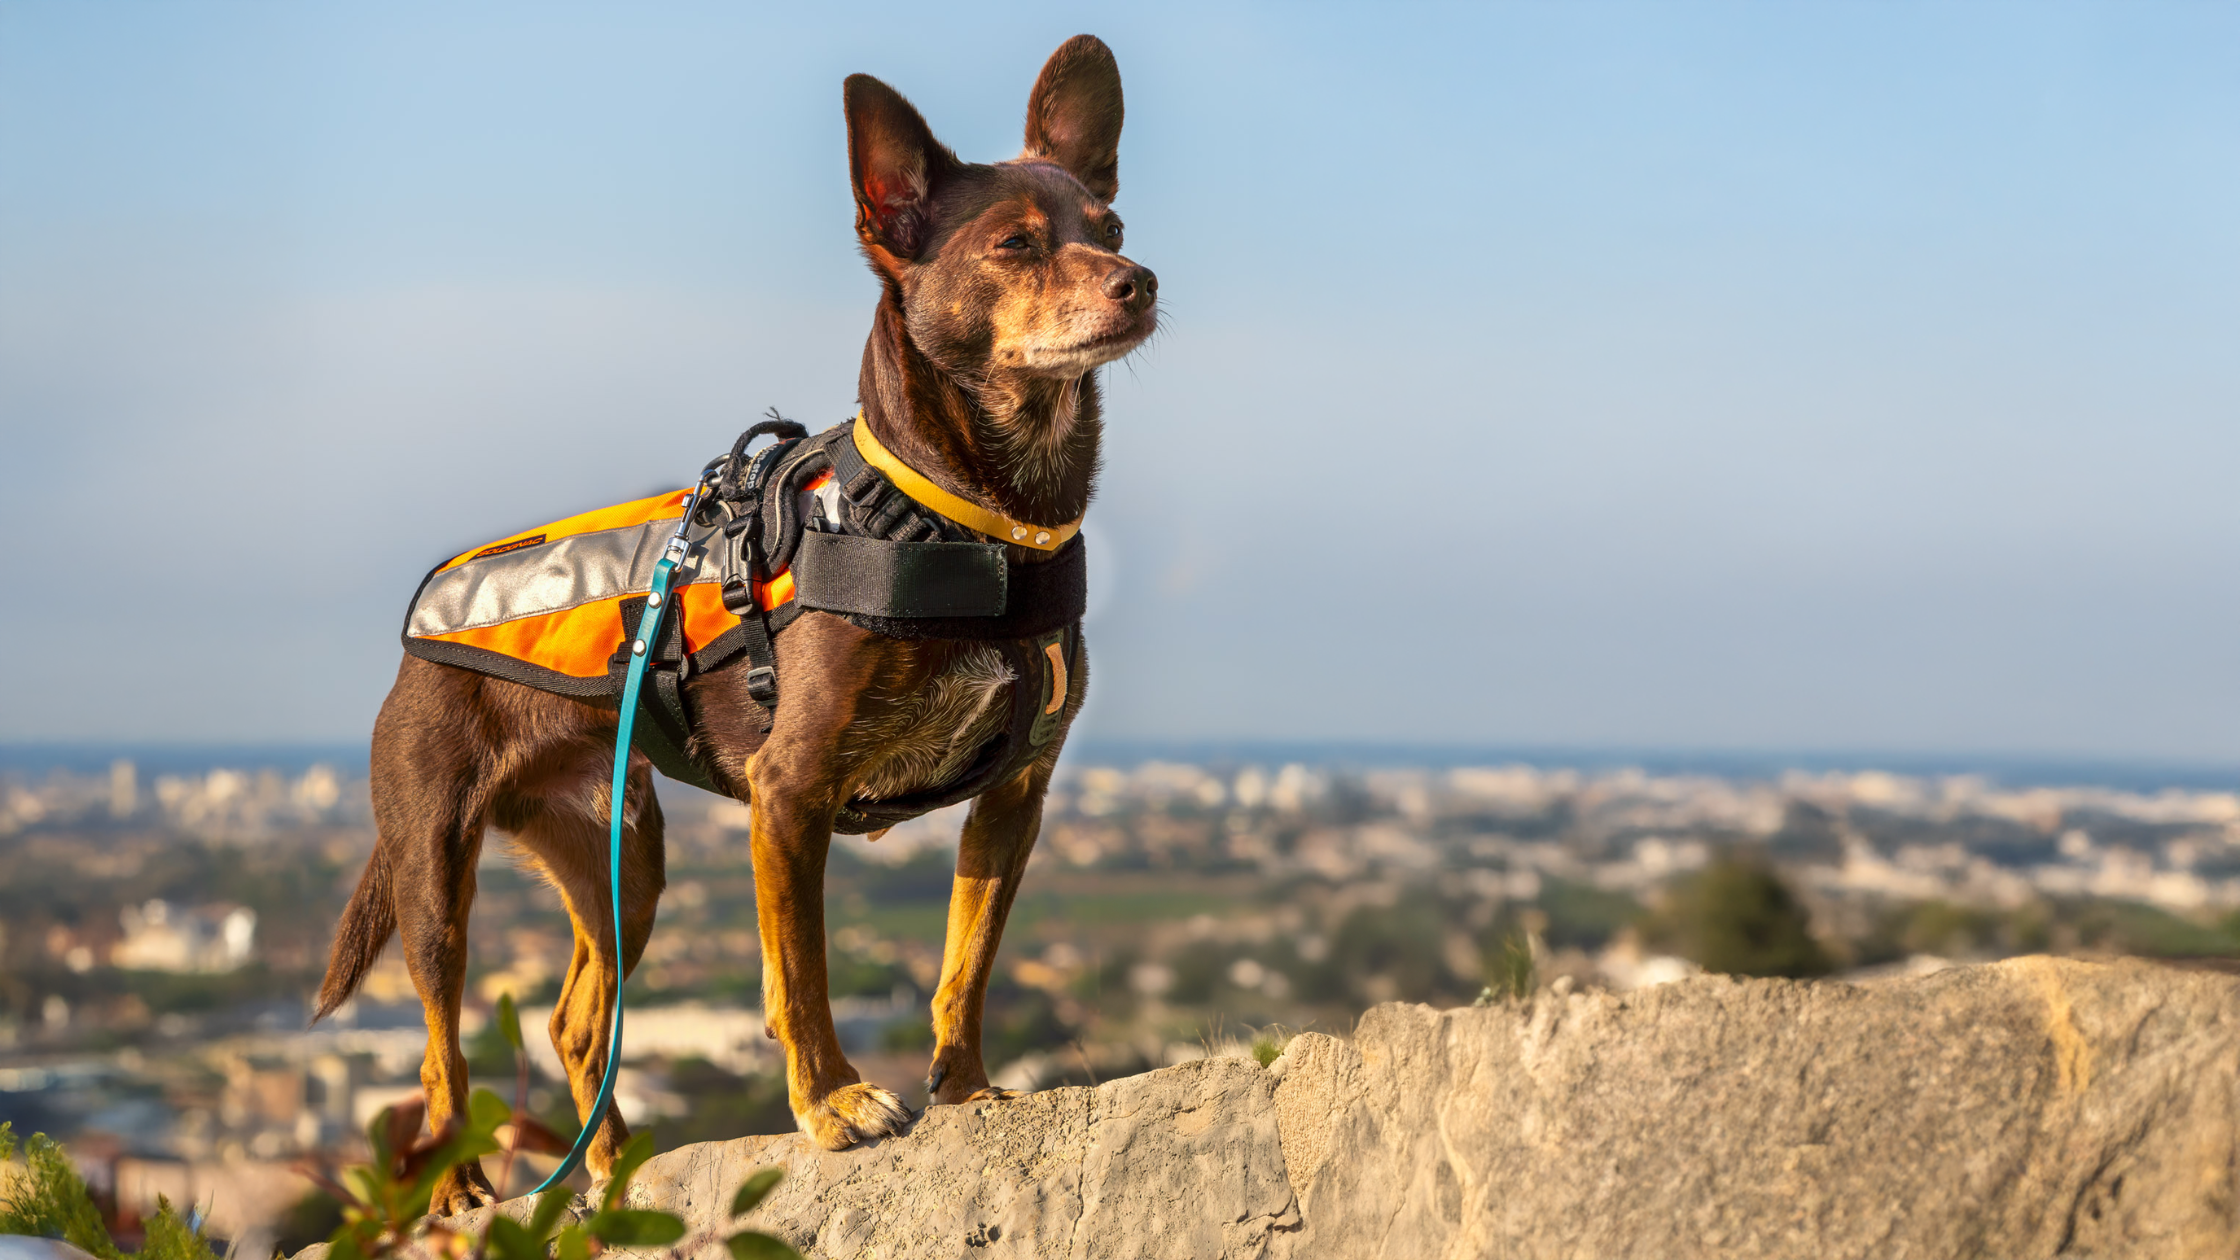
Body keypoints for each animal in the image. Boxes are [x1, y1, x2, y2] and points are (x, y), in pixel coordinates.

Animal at [315, 31, 1155, 1210]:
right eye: (1017, 245)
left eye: (1110, 229)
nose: (1141, 281)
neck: (967, 516)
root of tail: (417, 632)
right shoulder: (789, 791)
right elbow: (798, 973)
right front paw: (833, 1103)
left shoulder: (1014, 798)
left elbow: (965, 965)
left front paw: (965, 1087)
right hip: (433, 868)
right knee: (440, 1054)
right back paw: (456, 1189)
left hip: (619, 857)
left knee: (578, 1022)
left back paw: (613, 1171)